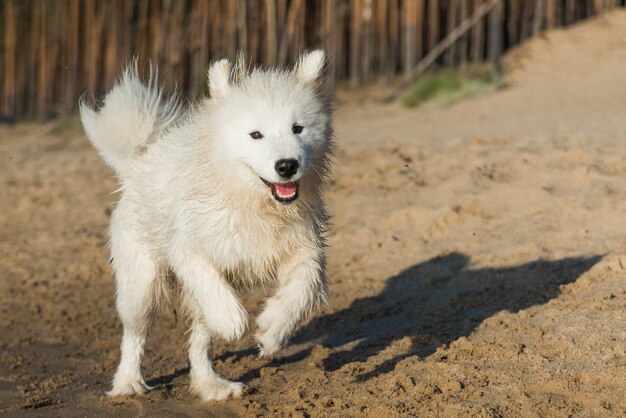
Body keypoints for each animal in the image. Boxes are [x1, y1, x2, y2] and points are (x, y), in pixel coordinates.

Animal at [80, 50, 334, 400]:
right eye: (256, 134)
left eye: (298, 128)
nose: (287, 166)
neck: (252, 202)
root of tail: (137, 162)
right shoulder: (189, 247)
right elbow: (211, 285)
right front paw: (233, 322)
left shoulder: (303, 247)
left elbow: (304, 285)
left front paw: (271, 331)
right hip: (142, 282)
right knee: (135, 333)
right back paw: (128, 383)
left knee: (199, 342)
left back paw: (212, 386)